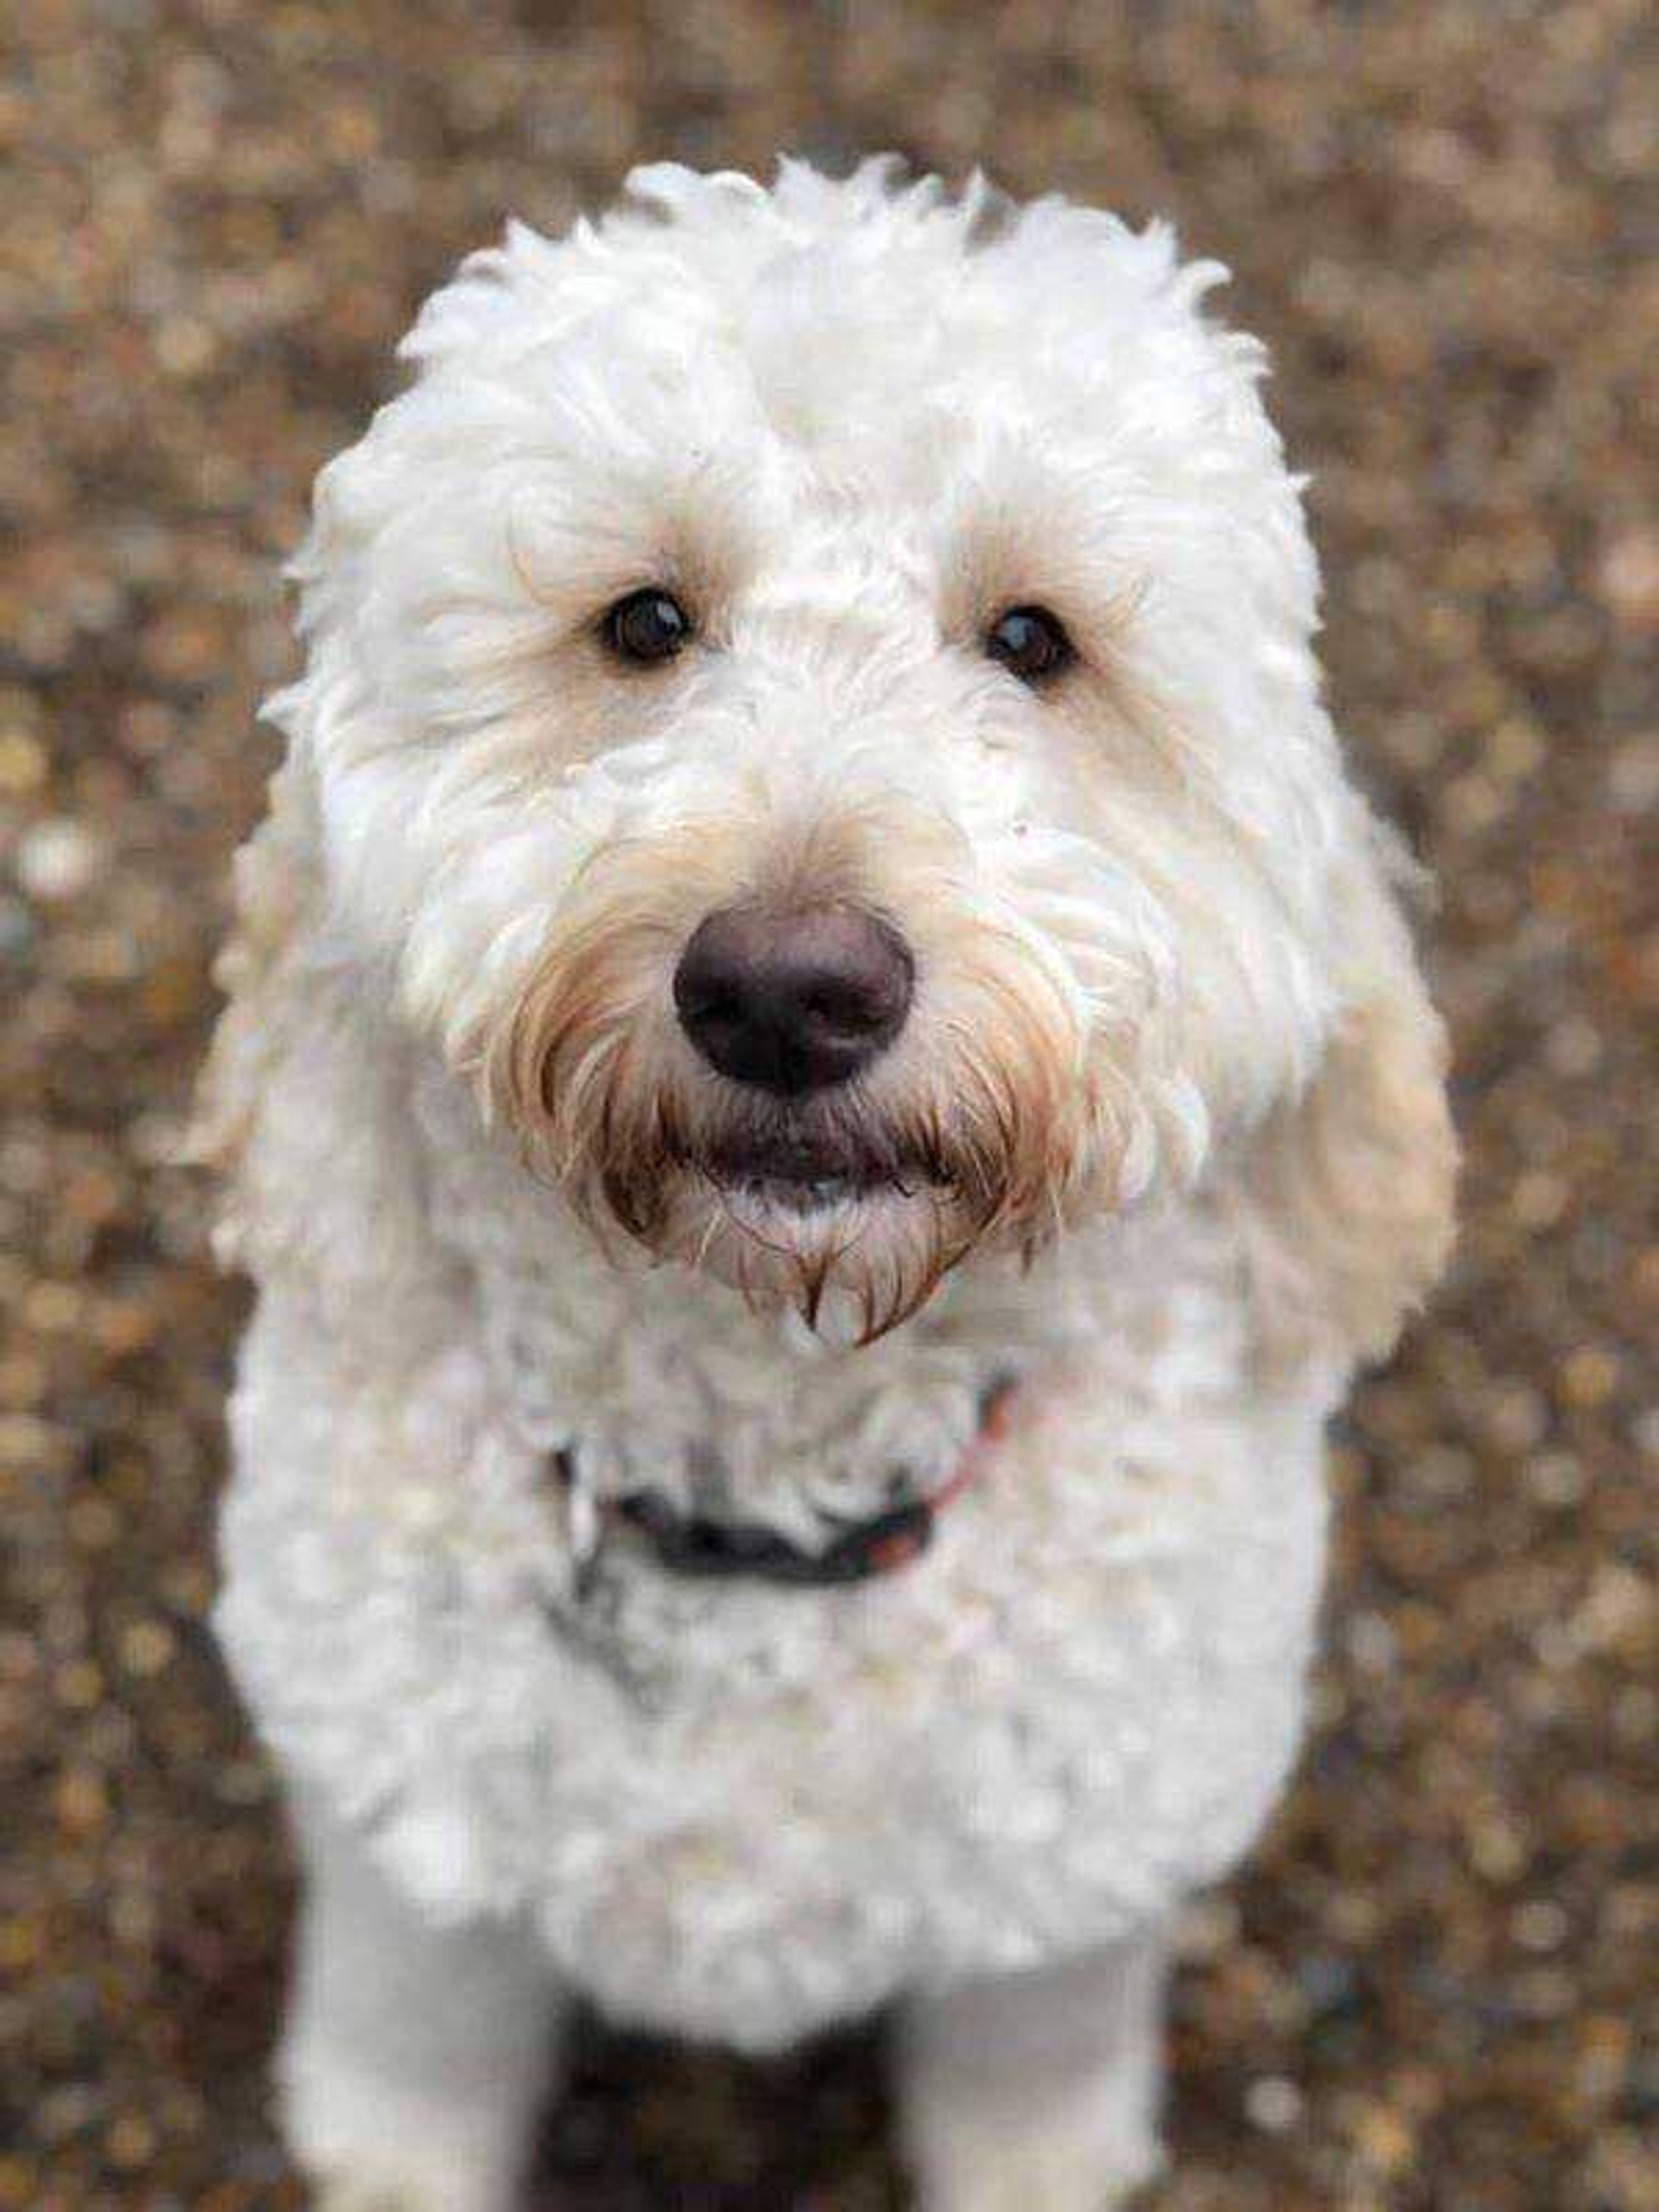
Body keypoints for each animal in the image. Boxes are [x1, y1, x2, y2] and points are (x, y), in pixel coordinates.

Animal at [198, 160, 1451, 2212]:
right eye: (642, 620)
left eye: (1030, 639)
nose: (789, 987)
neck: (773, 1514)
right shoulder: (414, 1854)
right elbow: (418, 2043)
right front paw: (378, 2145)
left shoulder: (1063, 1899)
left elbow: (1027, 2080)